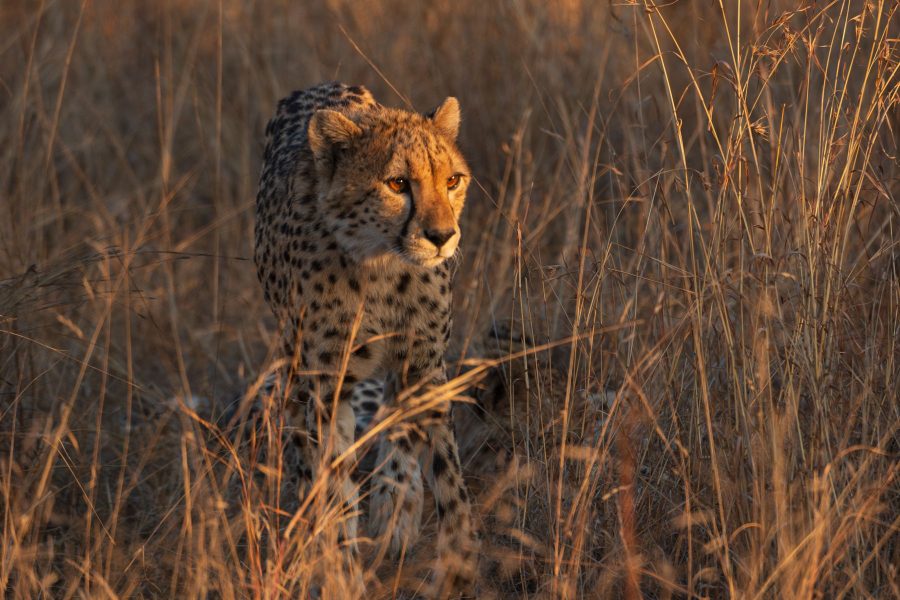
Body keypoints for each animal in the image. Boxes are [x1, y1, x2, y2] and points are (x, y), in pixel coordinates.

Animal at [254, 81, 477, 596]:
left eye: (452, 180)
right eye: (397, 184)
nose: (443, 236)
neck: (383, 266)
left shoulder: (426, 365)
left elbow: (446, 471)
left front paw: (457, 558)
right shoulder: (326, 380)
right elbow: (332, 481)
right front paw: (341, 568)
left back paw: (395, 509)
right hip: (295, 363)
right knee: (307, 450)